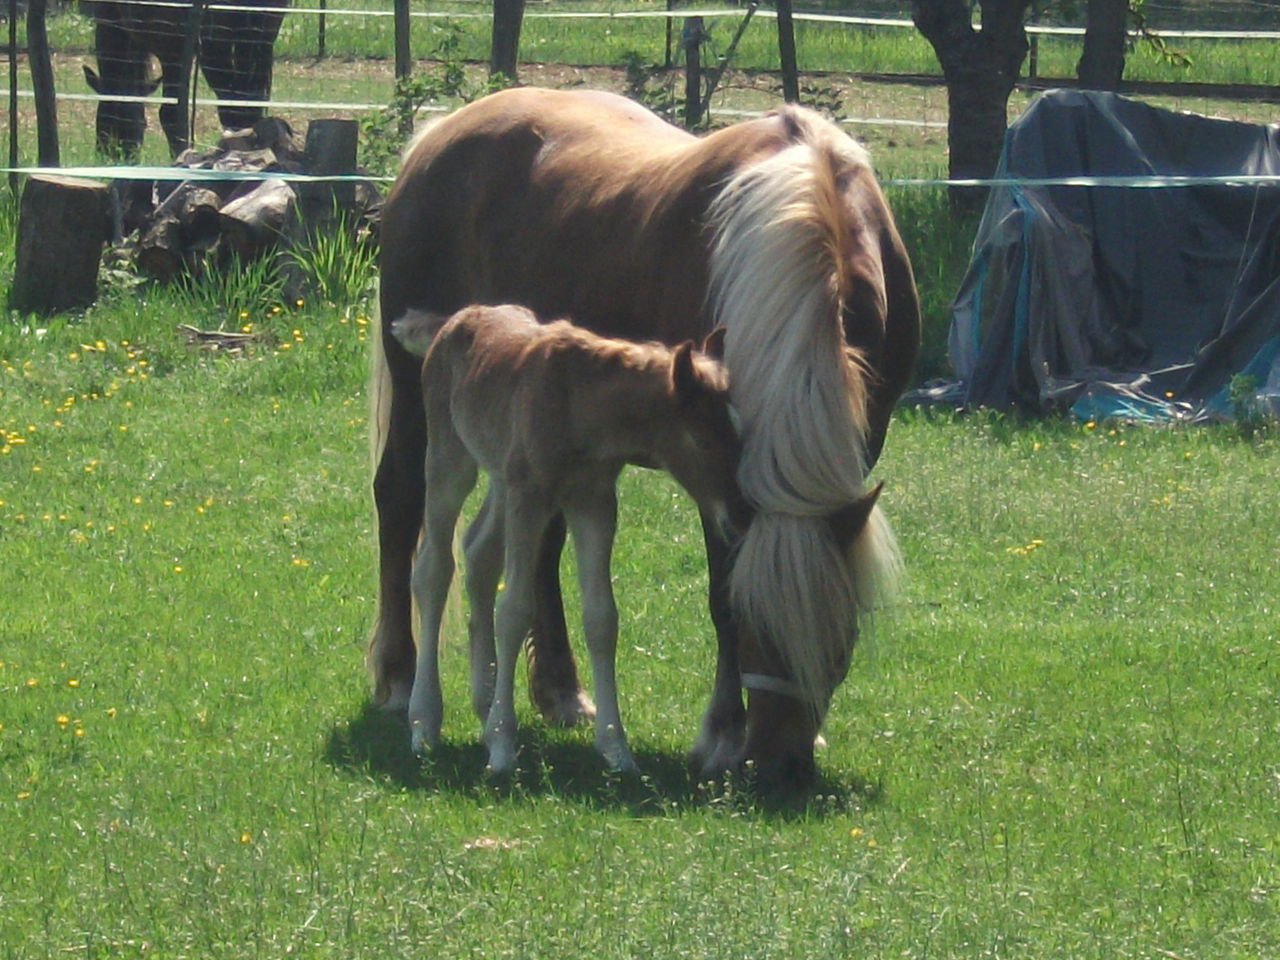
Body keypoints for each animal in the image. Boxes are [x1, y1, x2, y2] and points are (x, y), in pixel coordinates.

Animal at [394, 304, 747, 778]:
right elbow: (514, 609)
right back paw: (425, 723)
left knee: (479, 554)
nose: (743, 515)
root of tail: (452, 321)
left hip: (501, 479)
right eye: (705, 439)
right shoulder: (530, 497)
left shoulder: (593, 502)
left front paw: (617, 749)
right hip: (450, 461)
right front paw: (503, 748)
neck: (582, 406)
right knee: (434, 569)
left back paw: (483, 704)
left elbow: (602, 618)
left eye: (743, 436)